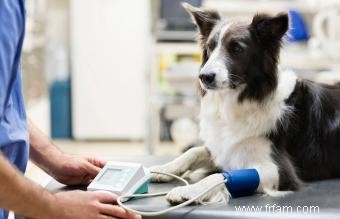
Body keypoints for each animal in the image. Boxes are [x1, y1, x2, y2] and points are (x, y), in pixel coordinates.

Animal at [149, 3, 340, 205]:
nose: (204, 77)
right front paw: (164, 168)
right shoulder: (224, 150)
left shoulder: (280, 171)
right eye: (210, 48)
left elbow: (219, 176)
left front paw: (190, 190)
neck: (243, 99)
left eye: (237, 49)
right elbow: (193, 151)